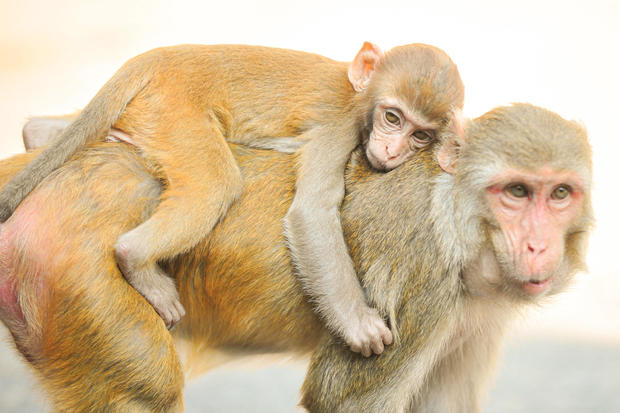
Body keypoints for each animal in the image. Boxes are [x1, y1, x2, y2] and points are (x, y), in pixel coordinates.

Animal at [0, 44, 464, 358]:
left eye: (421, 134)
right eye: (393, 117)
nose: (391, 150)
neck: (362, 95)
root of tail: (156, 57)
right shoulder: (341, 125)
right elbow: (312, 211)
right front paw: (358, 324)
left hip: (147, 112)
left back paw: (38, 135)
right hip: (175, 110)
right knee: (215, 185)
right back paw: (135, 259)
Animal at [0, 104, 592, 412]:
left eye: (560, 194)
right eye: (516, 192)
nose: (539, 246)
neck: (455, 220)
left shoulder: (474, 317)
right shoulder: (424, 285)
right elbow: (343, 400)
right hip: (81, 276)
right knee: (146, 385)